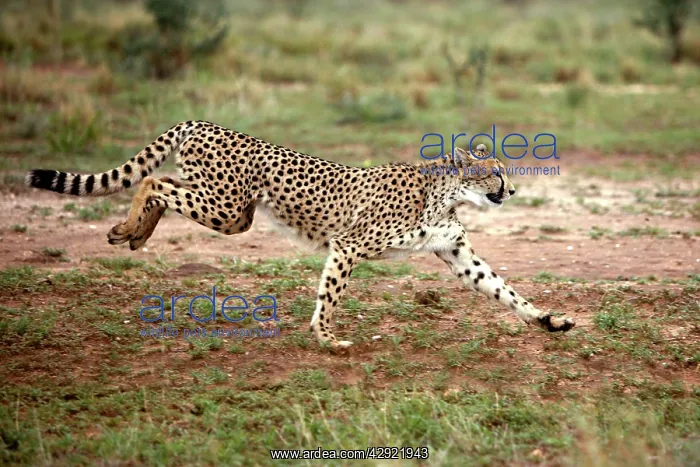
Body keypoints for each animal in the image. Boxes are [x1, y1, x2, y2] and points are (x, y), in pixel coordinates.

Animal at [26, 120, 575, 349]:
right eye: (493, 172)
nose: (509, 189)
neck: (446, 193)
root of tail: (202, 121)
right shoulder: (349, 244)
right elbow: (330, 294)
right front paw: (327, 339)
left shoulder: (458, 254)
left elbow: (505, 291)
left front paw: (549, 320)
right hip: (227, 209)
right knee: (152, 181)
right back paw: (130, 227)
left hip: (231, 210)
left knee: (162, 184)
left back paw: (136, 233)